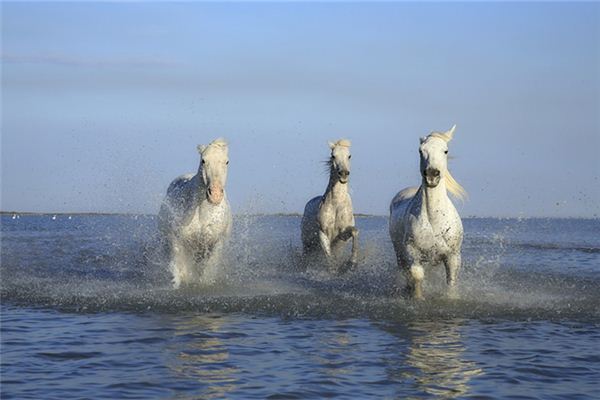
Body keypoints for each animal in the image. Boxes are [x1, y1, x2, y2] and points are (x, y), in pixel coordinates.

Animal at [158, 138, 233, 288]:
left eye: (227, 161)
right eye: (203, 160)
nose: (215, 195)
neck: (201, 212)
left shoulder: (215, 243)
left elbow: (207, 272)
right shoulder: (177, 240)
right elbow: (179, 269)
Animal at [300, 139, 356, 274]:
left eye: (349, 156)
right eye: (333, 156)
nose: (343, 174)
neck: (336, 204)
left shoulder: (342, 236)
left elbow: (355, 232)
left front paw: (352, 263)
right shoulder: (323, 233)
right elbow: (329, 258)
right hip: (307, 243)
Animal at [390, 126, 468, 298]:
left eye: (445, 150)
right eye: (421, 150)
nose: (432, 174)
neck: (435, 220)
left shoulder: (453, 256)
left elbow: (451, 282)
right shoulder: (412, 252)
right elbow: (417, 275)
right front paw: (418, 297)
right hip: (399, 253)